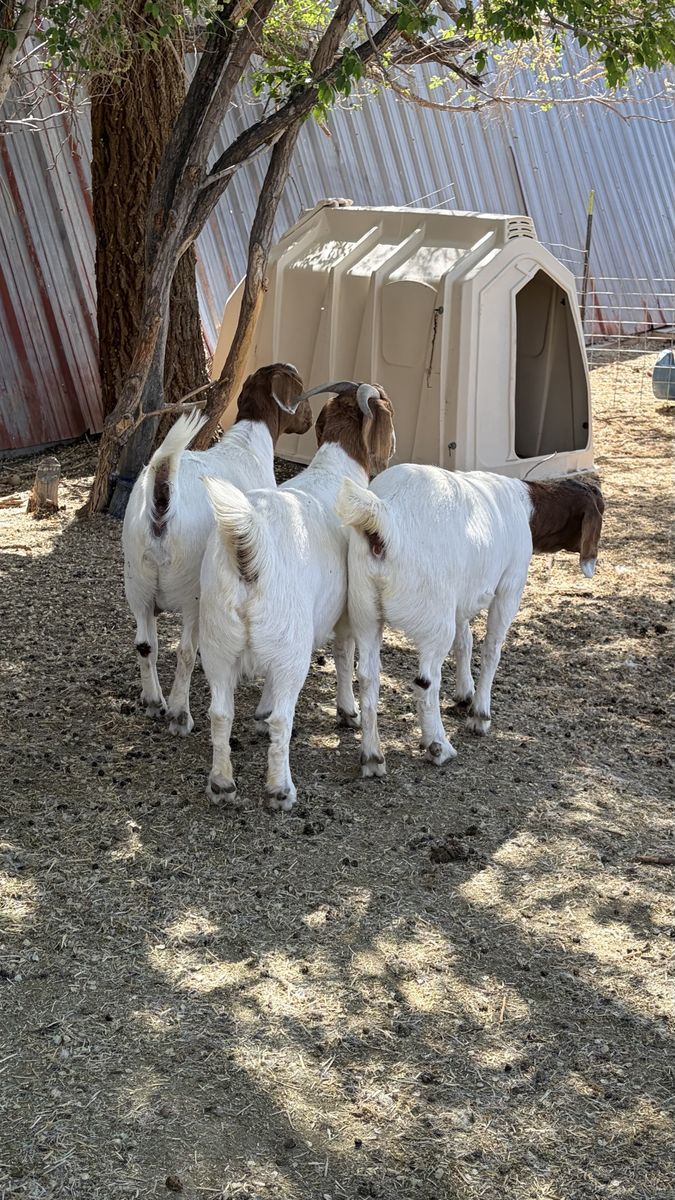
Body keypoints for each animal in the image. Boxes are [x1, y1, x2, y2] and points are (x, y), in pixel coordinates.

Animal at [122, 364, 312, 735]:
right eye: (300, 390)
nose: (310, 421)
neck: (247, 445)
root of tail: (161, 497)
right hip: (193, 589)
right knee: (184, 650)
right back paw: (180, 714)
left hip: (136, 579)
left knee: (145, 644)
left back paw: (153, 702)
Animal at [198, 381, 396, 810]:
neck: (333, 470)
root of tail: (248, 551)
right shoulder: (345, 613)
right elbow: (344, 656)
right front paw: (347, 712)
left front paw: (259, 711)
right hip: (291, 644)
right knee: (282, 719)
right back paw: (280, 790)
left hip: (219, 642)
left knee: (219, 713)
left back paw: (222, 784)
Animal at [336, 469, 604, 775]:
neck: (527, 506)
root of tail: (384, 518)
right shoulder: (509, 586)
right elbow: (492, 649)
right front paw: (480, 714)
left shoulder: (459, 598)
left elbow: (464, 641)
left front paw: (465, 693)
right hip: (434, 618)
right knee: (425, 682)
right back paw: (438, 746)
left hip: (365, 610)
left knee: (368, 677)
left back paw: (372, 757)